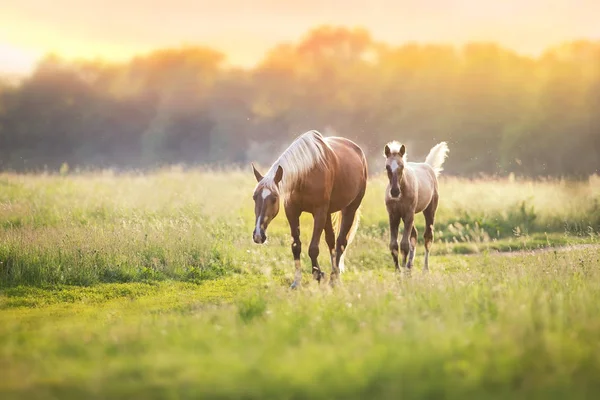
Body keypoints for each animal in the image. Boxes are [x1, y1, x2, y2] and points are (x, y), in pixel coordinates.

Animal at [248, 130, 366, 288]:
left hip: (350, 208)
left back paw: (334, 278)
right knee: (331, 240)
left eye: (274, 198)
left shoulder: (319, 212)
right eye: (254, 197)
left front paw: (318, 275)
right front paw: (297, 281)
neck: (306, 174)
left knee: (341, 242)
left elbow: (313, 248)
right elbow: (296, 246)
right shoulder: (291, 211)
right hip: (328, 213)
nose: (258, 235)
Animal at [384, 141, 450, 272]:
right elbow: (394, 245)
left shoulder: (409, 214)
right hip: (406, 217)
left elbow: (404, 245)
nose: (394, 192)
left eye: (401, 166)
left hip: (429, 211)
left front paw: (403, 272)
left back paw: (425, 269)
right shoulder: (393, 216)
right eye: (387, 167)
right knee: (414, 235)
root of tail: (428, 166)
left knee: (428, 237)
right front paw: (399, 271)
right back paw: (410, 267)